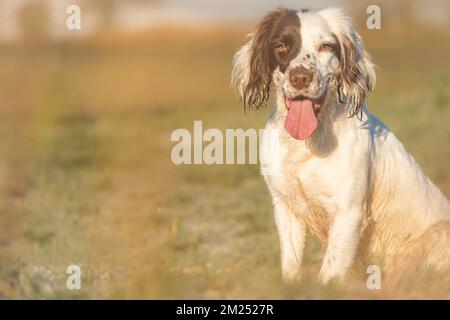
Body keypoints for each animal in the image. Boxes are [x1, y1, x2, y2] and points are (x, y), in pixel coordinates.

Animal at [232, 7, 450, 284]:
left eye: (325, 46)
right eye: (281, 46)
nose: (300, 77)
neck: (306, 145)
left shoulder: (348, 212)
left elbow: (329, 272)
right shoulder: (286, 209)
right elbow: (291, 268)